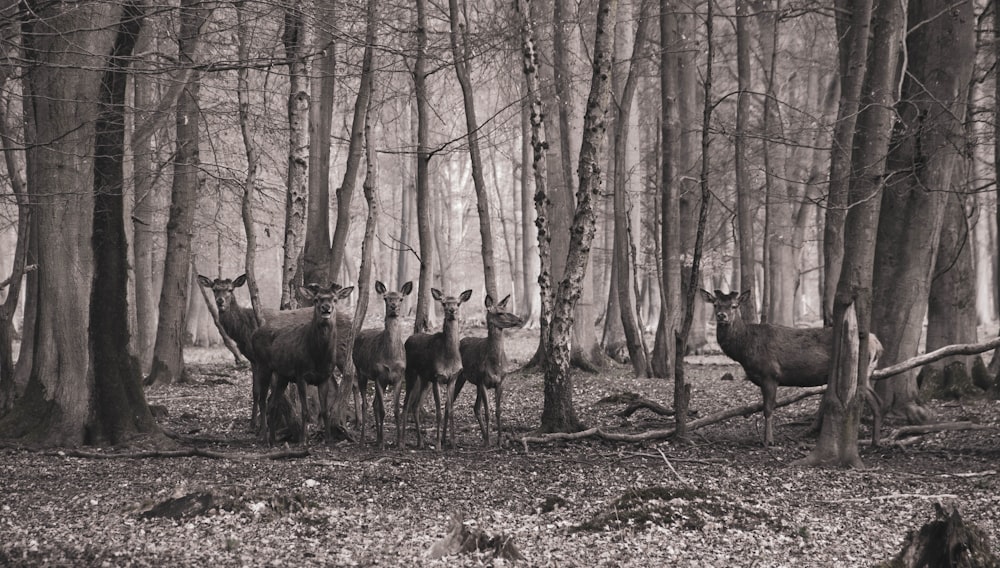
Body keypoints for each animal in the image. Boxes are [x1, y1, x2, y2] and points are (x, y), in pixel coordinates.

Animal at [252, 282, 354, 444]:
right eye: (316, 299)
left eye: (335, 299)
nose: (326, 308)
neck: (318, 357)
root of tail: (253, 334)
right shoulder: (301, 375)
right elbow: (305, 410)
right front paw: (303, 440)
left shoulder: (324, 377)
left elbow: (324, 410)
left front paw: (328, 440)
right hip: (262, 365)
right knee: (262, 401)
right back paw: (263, 436)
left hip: (282, 375)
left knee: (273, 404)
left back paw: (273, 439)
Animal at [352, 280, 414, 448]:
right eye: (386, 298)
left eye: (400, 299)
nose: (393, 306)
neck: (390, 358)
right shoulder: (379, 376)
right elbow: (382, 410)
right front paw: (383, 445)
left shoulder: (398, 377)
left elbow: (396, 410)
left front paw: (400, 443)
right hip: (360, 370)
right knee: (366, 404)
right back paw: (363, 440)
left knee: (373, 404)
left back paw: (378, 438)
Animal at [402, 290, 472, 450]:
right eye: (444, 303)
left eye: (458, 303)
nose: (452, 311)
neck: (449, 358)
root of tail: (408, 339)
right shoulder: (436, 377)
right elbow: (439, 411)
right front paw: (438, 444)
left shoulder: (452, 378)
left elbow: (450, 410)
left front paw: (453, 443)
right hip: (411, 373)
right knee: (405, 404)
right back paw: (401, 441)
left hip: (424, 379)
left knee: (415, 406)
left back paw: (420, 442)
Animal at [454, 292, 524, 448]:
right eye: (500, 313)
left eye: (505, 308)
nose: (520, 319)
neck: (495, 364)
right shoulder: (483, 382)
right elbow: (487, 412)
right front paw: (490, 442)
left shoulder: (500, 382)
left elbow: (498, 411)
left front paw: (499, 441)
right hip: (461, 377)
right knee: (451, 401)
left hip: (476, 383)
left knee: (475, 407)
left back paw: (485, 437)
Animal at [700, 290, 880, 446]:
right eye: (715, 304)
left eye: (734, 305)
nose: (721, 316)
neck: (745, 349)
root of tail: (877, 343)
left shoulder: (770, 375)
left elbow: (768, 409)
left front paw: (768, 441)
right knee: (878, 402)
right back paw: (875, 440)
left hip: (861, 373)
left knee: (875, 401)